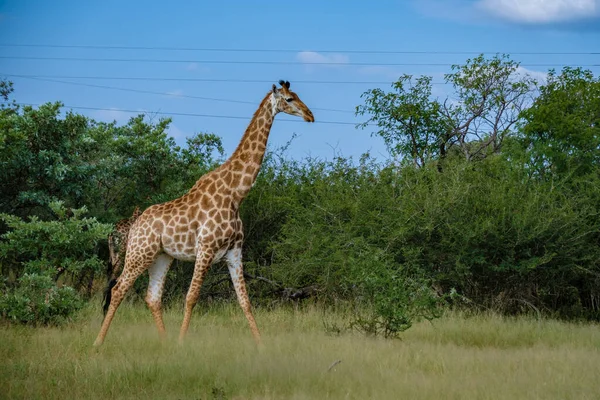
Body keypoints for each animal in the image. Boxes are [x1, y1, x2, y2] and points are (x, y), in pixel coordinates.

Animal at [94, 79, 314, 346]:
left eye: (298, 96)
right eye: (289, 99)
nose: (310, 115)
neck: (236, 193)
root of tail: (135, 225)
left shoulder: (234, 252)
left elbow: (245, 301)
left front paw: (261, 347)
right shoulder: (206, 249)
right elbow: (191, 297)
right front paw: (181, 344)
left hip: (161, 256)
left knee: (152, 297)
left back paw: (164, 343)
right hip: (139, 253)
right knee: (118, 289)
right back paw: (98, 343)